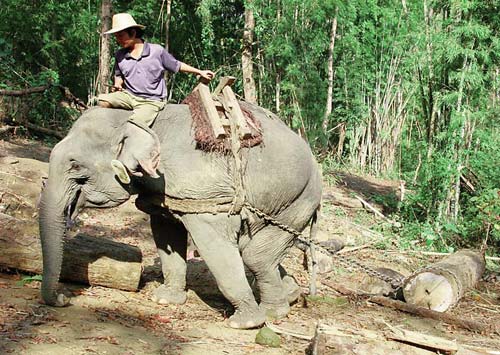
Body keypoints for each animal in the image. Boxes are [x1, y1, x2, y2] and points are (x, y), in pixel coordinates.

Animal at [38, 101, 320, 330]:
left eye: (75, 165)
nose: (63, 299)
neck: (138, 120)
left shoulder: (203, 192)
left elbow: (213, 245)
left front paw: (245, 323)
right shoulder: (163, 195)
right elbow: (166, 235)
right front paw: (164, 299)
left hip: (296, 201)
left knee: (255, 256)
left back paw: (272, 313)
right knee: (253, 249)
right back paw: (291, 295)